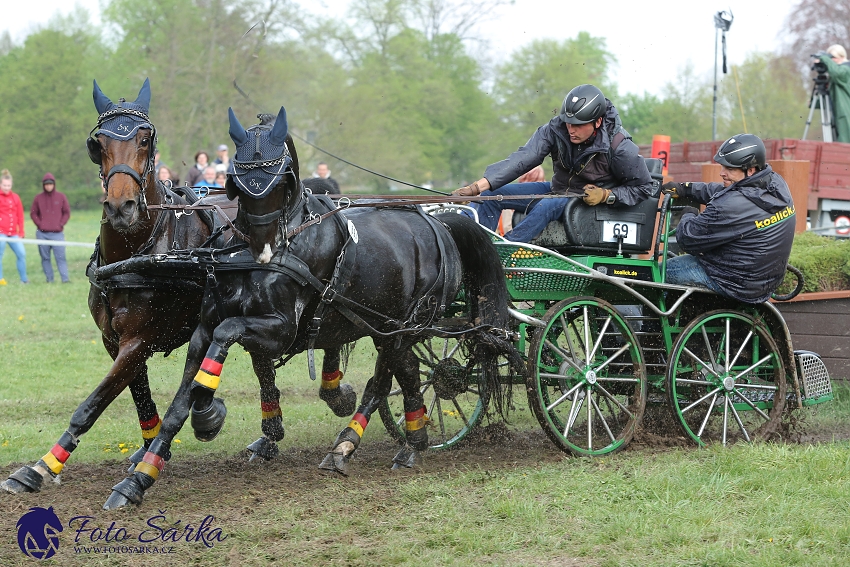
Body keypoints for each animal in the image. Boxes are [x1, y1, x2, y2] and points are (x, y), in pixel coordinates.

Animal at [103, 106, 520, 510]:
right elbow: (180, 401)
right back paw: (404, 442)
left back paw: (361, 444)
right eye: (241, 176)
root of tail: (439, 223)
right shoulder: (204, 327)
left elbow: (225, 339)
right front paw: (138, 479)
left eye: (278, 176)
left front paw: (207, 413)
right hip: (389, 327)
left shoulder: (278, 330)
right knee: (407, 373)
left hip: (404, 326)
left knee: (386, 380)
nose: (265, 249)